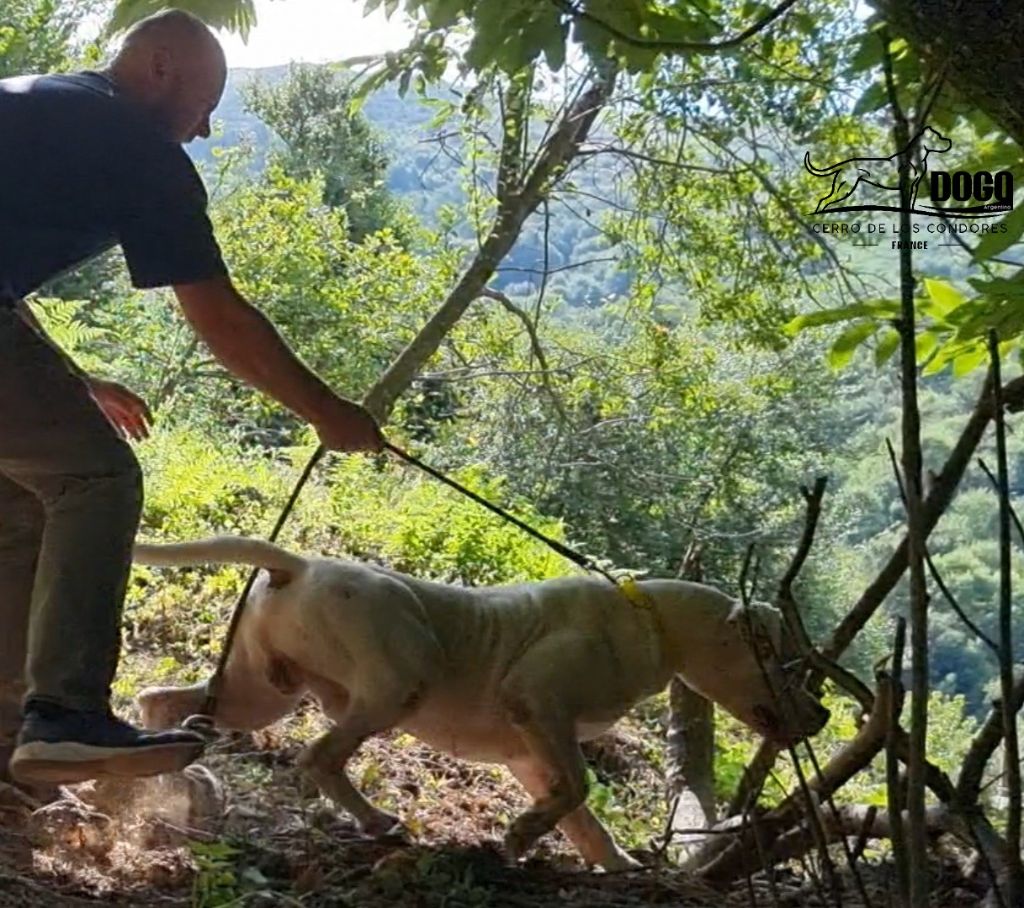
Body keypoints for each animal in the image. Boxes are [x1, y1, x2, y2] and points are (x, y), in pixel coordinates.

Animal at [136, 540, 827, 872]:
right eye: (782, 660)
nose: (820, 717)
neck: (651, 621)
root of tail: (300, 564)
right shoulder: (540, 704)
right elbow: (580, 786)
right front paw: (520, 836)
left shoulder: (533, 750)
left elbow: (581, 814)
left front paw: (616, 865)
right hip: (394, 682)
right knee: (319, 758)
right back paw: (375, 820)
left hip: (260, 693)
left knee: (160, 700)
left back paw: (162, 775)